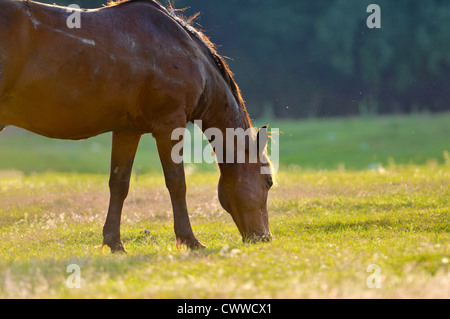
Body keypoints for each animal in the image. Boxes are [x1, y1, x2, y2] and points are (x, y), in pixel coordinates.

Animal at [0, 0, 274, 255]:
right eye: (269, 181)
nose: (265, 238)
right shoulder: (169, 124)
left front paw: (114, 243)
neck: (186, 52)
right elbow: (177, 183)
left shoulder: (127, 131)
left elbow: (119, 184)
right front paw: (189, 240)